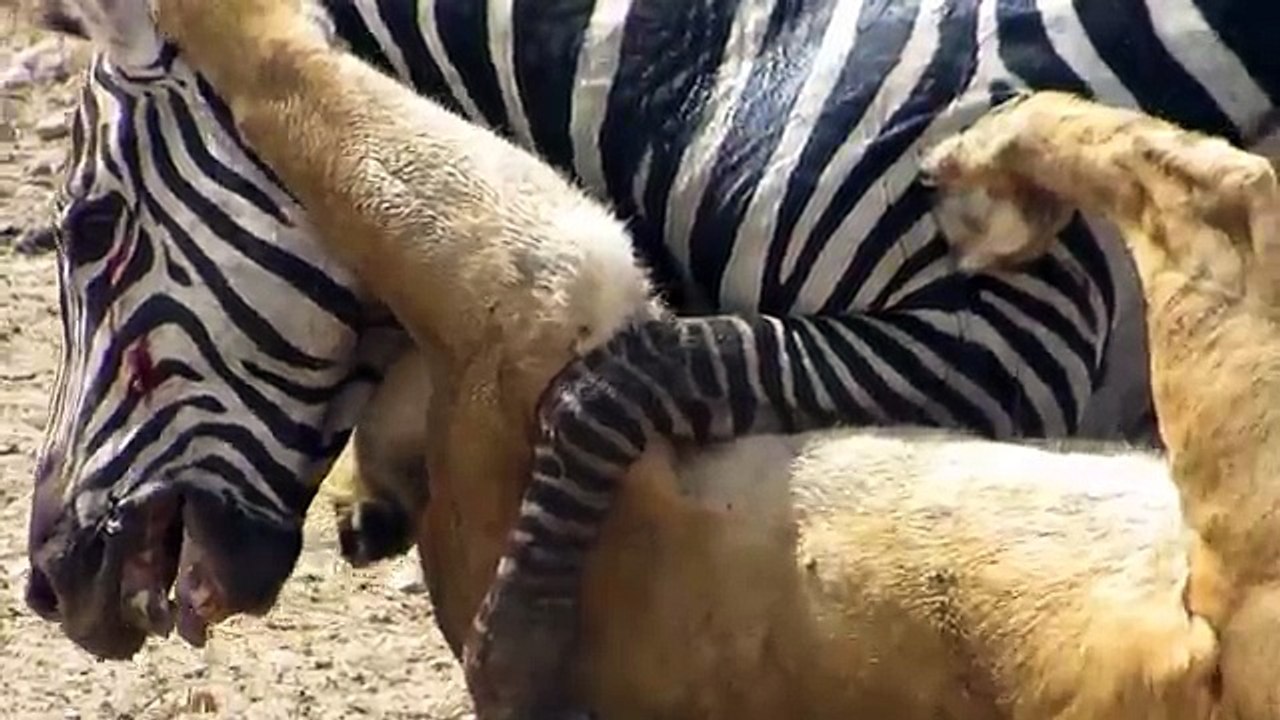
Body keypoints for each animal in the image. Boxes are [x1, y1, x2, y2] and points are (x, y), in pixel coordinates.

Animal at [23, 0, 1278, 714]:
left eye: (87, 230)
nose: (49, 583)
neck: (716, 81)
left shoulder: (996, 344)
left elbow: (623, 378)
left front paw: (521, 631)